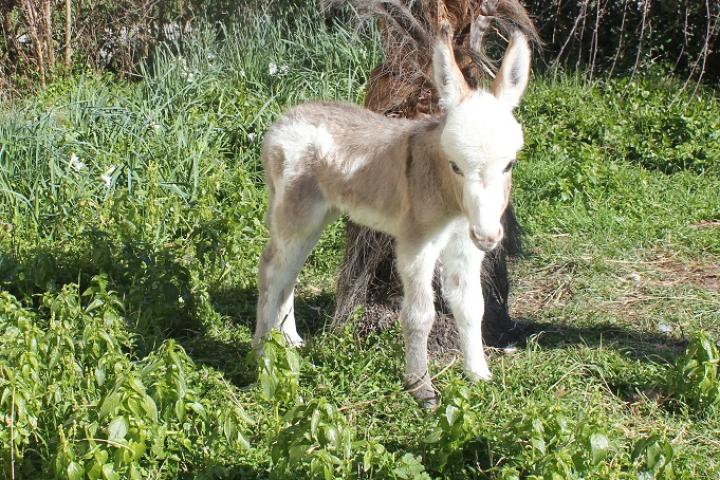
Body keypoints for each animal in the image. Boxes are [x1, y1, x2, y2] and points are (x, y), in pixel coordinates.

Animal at [256, 21, 532, 404]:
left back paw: (290, 340)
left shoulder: (463, 244)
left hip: (317, 214)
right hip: (295, 211)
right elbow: (419, 315)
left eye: (509, 164)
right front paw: (421, 387)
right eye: (455, 166)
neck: (446, 192)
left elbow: (471, 306)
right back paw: (262, 352)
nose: (489, 237)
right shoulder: (415, 245)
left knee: (288, 271)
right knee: (270, 268)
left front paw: (478, 374)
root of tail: (283, 119)